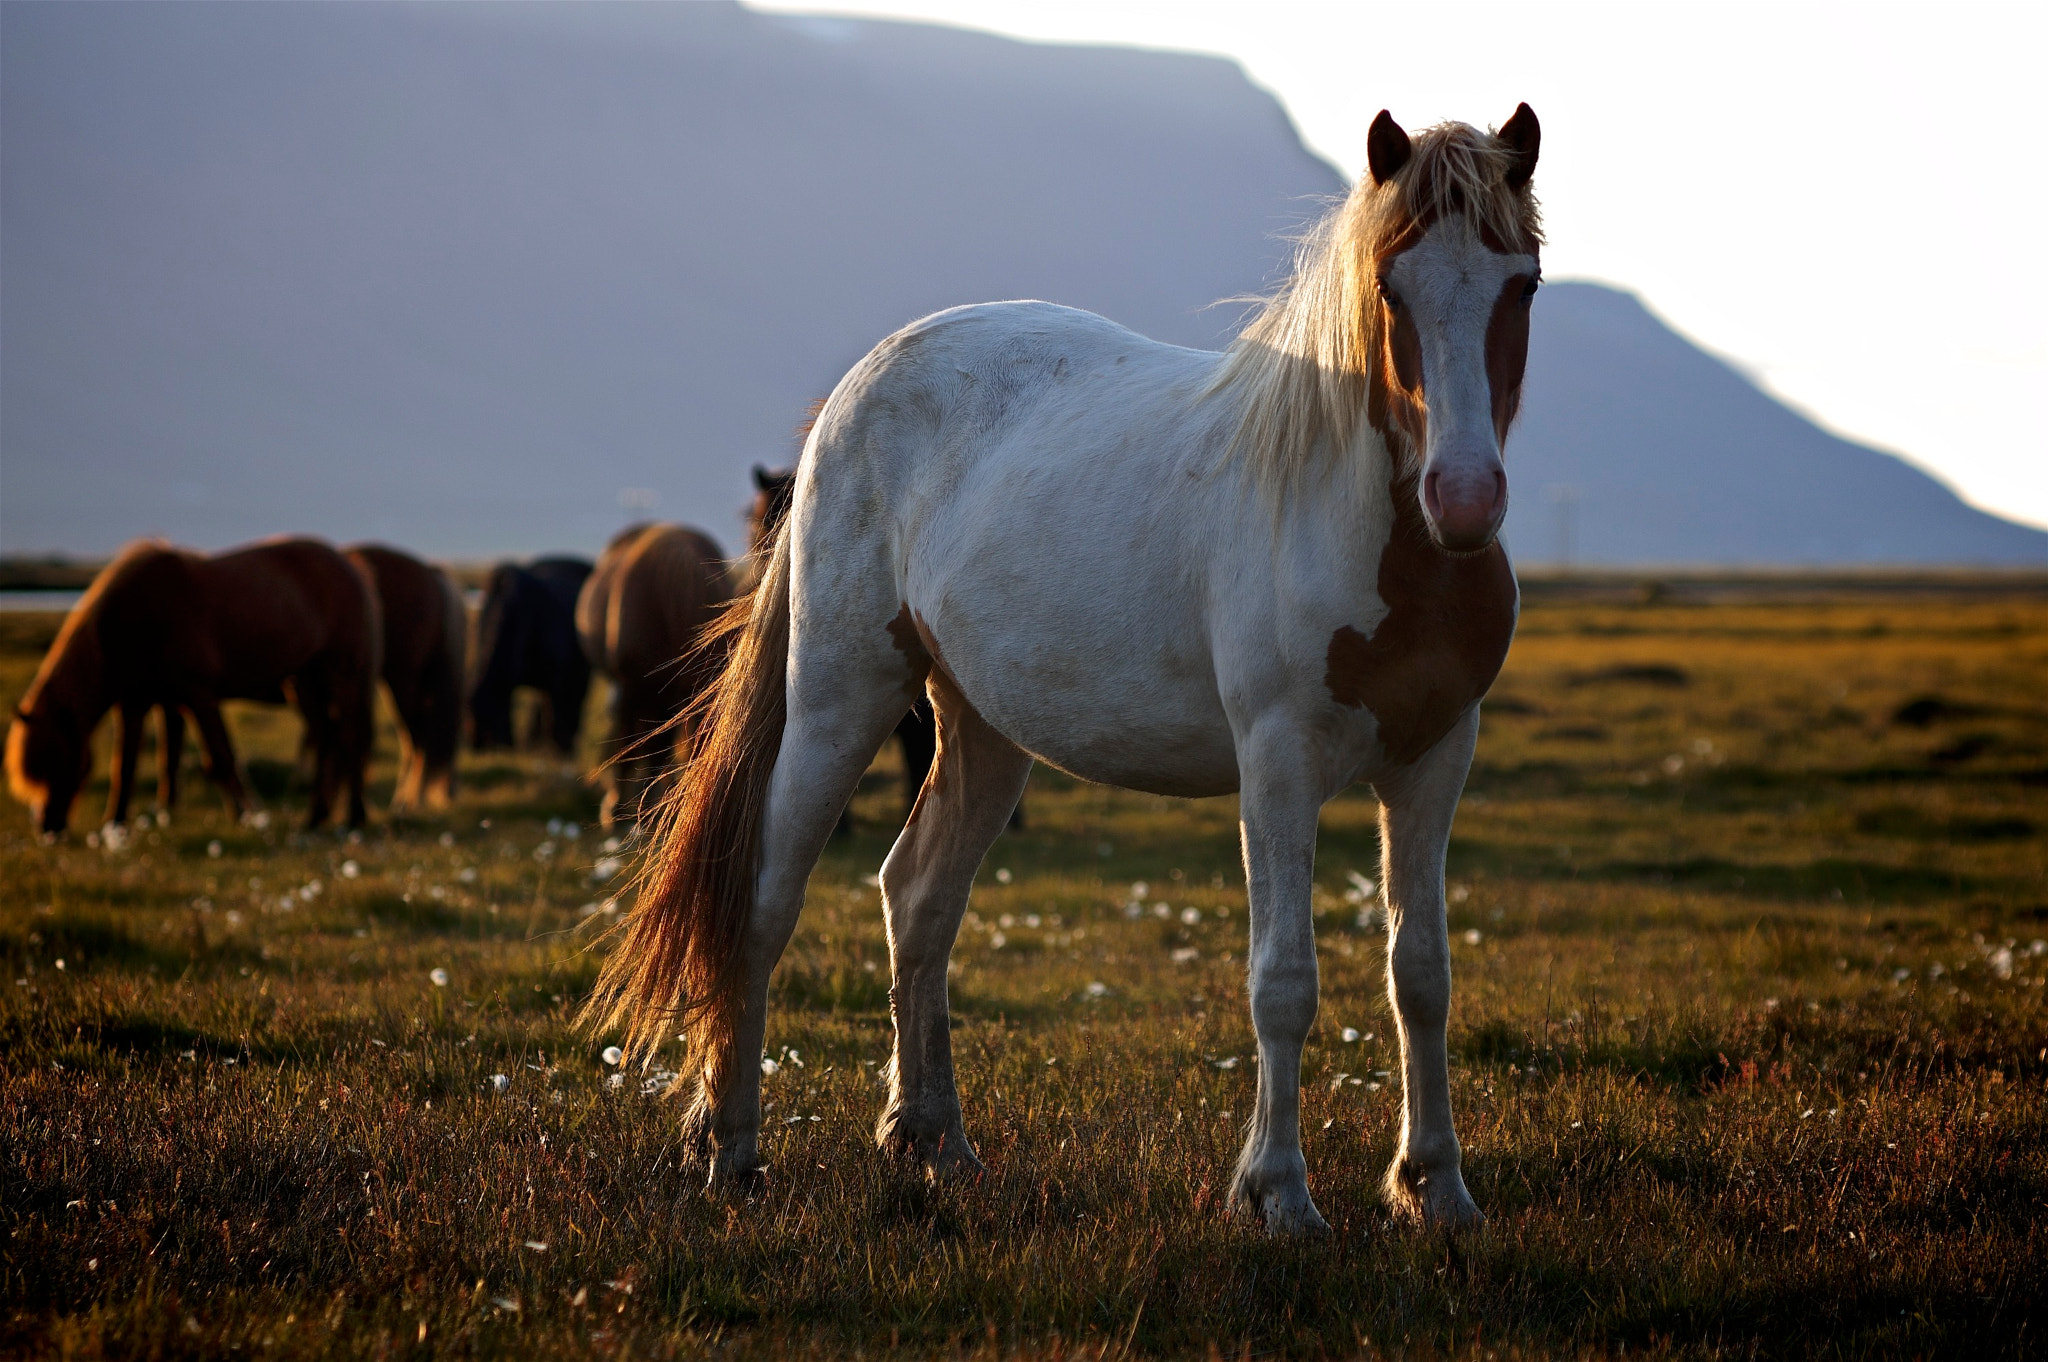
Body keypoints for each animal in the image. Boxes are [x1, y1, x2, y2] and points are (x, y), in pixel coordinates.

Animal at [6, 536, 380, 835]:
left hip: (341, 673)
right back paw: (315, 817)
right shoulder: (142, 702)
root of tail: (350, 566)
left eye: (55, 761)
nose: (47, 827)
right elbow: (133, 764)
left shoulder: (198, 694)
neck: (132, 620)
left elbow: (220, 757)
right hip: (304, 681)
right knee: (328, 740)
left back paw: (354, 818)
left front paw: (245, 815)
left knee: (350, 739)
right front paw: (121, 821)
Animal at [466, 552, 589, 753]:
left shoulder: (557, 675)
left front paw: (561, 748)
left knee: (574, 701)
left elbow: (555, 712)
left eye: (486, 715)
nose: (477, 746)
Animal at [598, 109, 1540, 1228]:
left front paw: (1436, 1189)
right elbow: (1283, 981)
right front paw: (1277, 1194)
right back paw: (732, 1148)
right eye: (1392, 289)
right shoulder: (1279, 764)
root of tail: (854, 394)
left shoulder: (1435, 760)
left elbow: (1422, 975)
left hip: (982, 728)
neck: (1371, 533)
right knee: (766, 898)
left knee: (918, 898)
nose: (1466, 498)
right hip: (840, 697)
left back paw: (933, 1142)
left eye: (1522, 283)